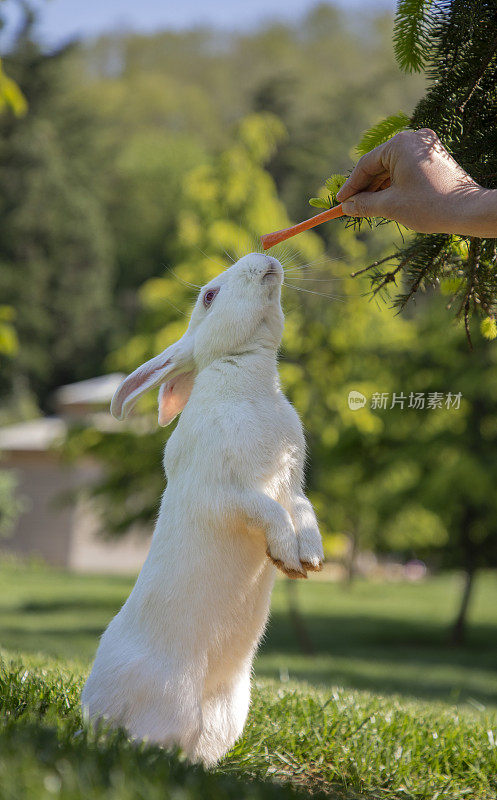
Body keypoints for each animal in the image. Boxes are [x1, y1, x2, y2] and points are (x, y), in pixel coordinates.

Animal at [81, 253, 322, 764]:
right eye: (209, 296)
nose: (265, 259)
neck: (247, 379)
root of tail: (96, 709)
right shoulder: (227, 492)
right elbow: (268, 512)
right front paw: (287, 557)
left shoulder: (292, 481)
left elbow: (303, 510)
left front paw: (310, 557)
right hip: (169, 699)